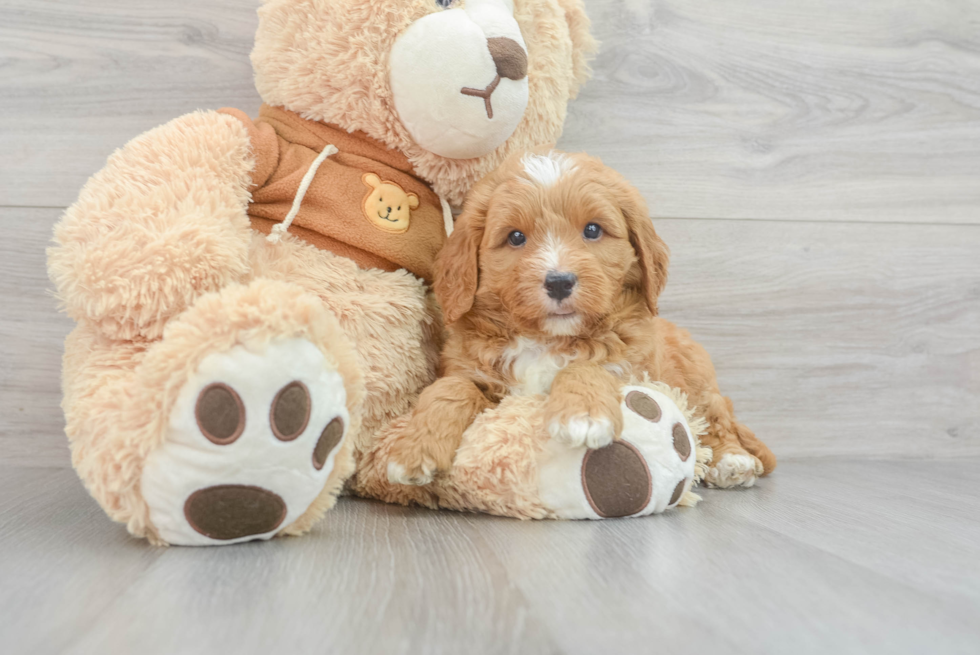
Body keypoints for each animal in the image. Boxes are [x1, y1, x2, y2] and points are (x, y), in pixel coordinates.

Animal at [386, 149, 776, 486]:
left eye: (592, 230)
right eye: (515, 237)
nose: (559, 281)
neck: (547, 339)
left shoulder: (634, 370)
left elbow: (587, 365)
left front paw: (583, 415)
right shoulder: (473, 372)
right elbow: (450, 388)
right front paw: (413, 449)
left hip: (697, 379)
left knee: (717, 414)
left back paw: (732, 460)